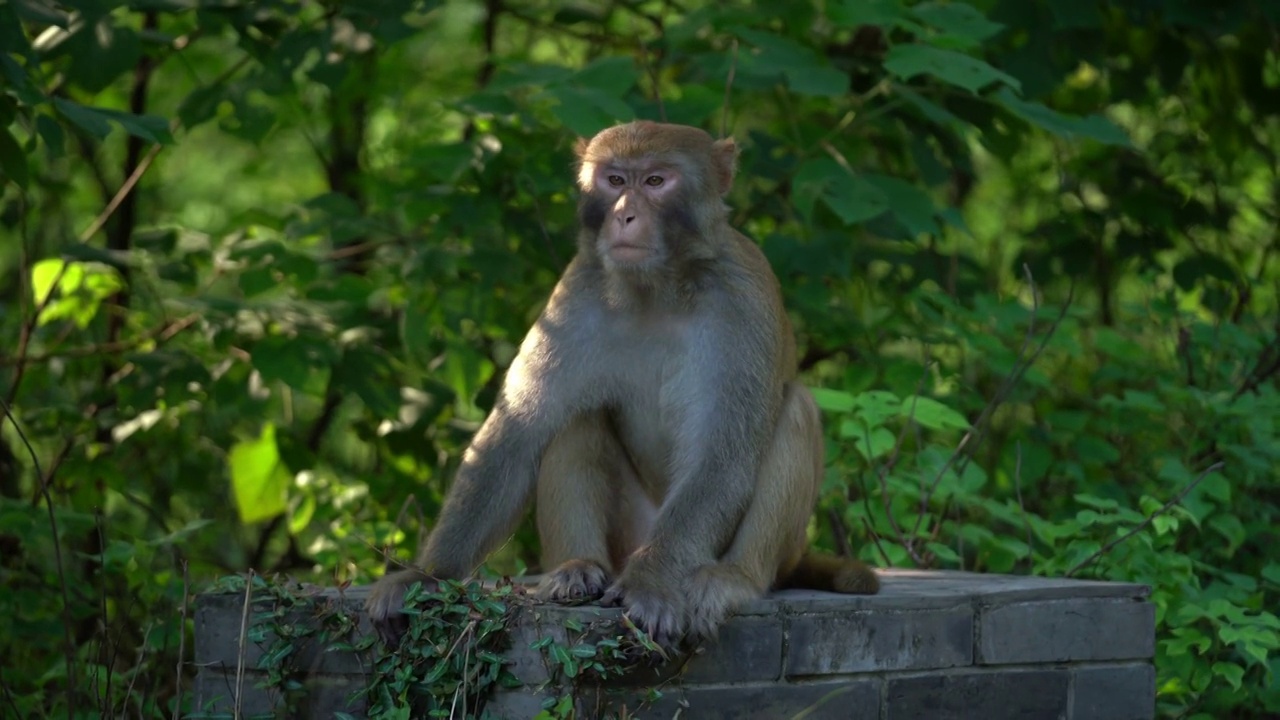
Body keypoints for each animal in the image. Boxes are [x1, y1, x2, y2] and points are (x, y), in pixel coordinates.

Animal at [366, 120, 875, 648]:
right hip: (625, 536)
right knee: (575, 417)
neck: (657, 289)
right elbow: (516, 434)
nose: (624, 216)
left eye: (655, 181)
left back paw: (733, 578)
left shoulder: (742, 299)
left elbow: (722, 457)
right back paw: (577, 567)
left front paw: (650, 582)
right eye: (613, 180)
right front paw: (428, 576)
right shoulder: (577, 291)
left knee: (796, 411)